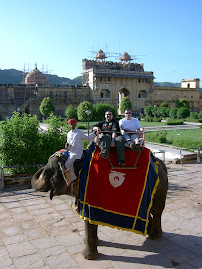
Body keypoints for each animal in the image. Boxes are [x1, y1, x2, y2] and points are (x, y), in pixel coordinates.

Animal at [31, 148, 167, 258]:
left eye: (47, 175)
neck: (80, 160)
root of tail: (161, 163)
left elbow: (88, 216)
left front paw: (87, 257)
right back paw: (150, 232)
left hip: (159, 188)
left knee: (156, 211)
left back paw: (154, 236)